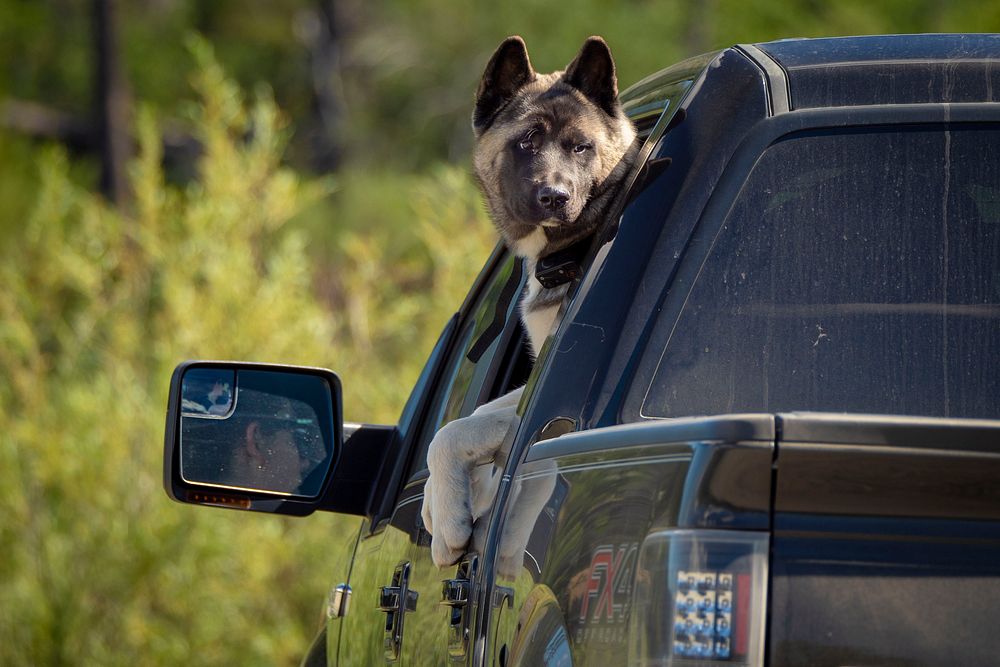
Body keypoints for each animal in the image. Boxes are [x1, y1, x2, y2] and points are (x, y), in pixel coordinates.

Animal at [420, 35, 636, 568]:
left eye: (581, 146)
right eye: (527, 142)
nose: (555, 197)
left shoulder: (544, 406)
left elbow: (451, 434)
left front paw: (451, 522)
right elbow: (470, 419)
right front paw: (446, 504)